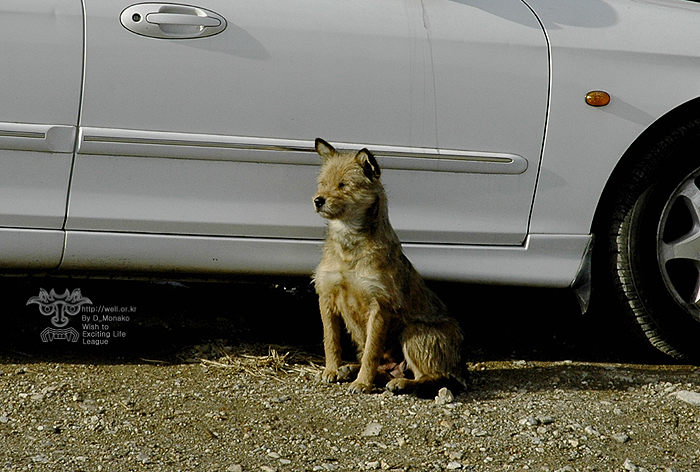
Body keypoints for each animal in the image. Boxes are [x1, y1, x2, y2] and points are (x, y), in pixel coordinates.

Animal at [312, 137, 464, 394]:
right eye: (323, 183)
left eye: (343, 185)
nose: (318, 200)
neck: (349, 245)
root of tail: (463, 368)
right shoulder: (326, 297)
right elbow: (330, 341)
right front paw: (331, 370)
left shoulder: (379, 307)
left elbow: (371, 352)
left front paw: (362, 383)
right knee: (385, 370)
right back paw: (350, 369)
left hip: (413, 332)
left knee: (434, 376)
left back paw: (400, 382)